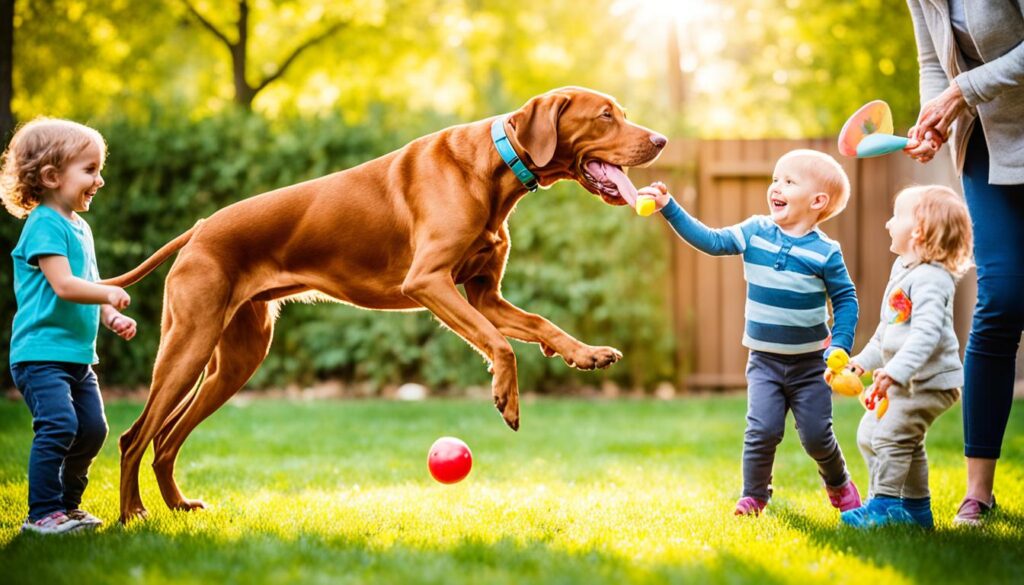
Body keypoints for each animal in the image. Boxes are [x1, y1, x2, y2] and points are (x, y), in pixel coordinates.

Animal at [108, 86, 667, 522]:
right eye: (605, 115)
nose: (661, 140)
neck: (494, 164)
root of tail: (200, 228)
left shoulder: (485, 295)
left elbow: (541, 324)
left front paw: (586, 353)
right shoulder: (428, 282)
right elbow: (500, 345)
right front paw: (506, 397)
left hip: (236, 359)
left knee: (167, 438)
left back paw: (177, 505)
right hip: (190, 343)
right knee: (136, 435)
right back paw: (133, 513)